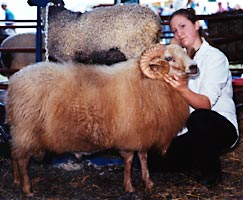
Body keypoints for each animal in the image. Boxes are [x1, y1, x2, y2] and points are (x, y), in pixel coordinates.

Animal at [6, 43, 198, 195]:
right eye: (169, 58)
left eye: (185, 52)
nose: (194, 67)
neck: (149, 83)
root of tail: (14, 81)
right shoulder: (130, 135)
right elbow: (129, 161)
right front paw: (129, 187)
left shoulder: (142, 133)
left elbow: (143, 158)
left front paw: (148, 182)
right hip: (26, 130)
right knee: (22, 159)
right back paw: (27, 189)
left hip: (19, 130)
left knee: (14, 153)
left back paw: (16, 180)